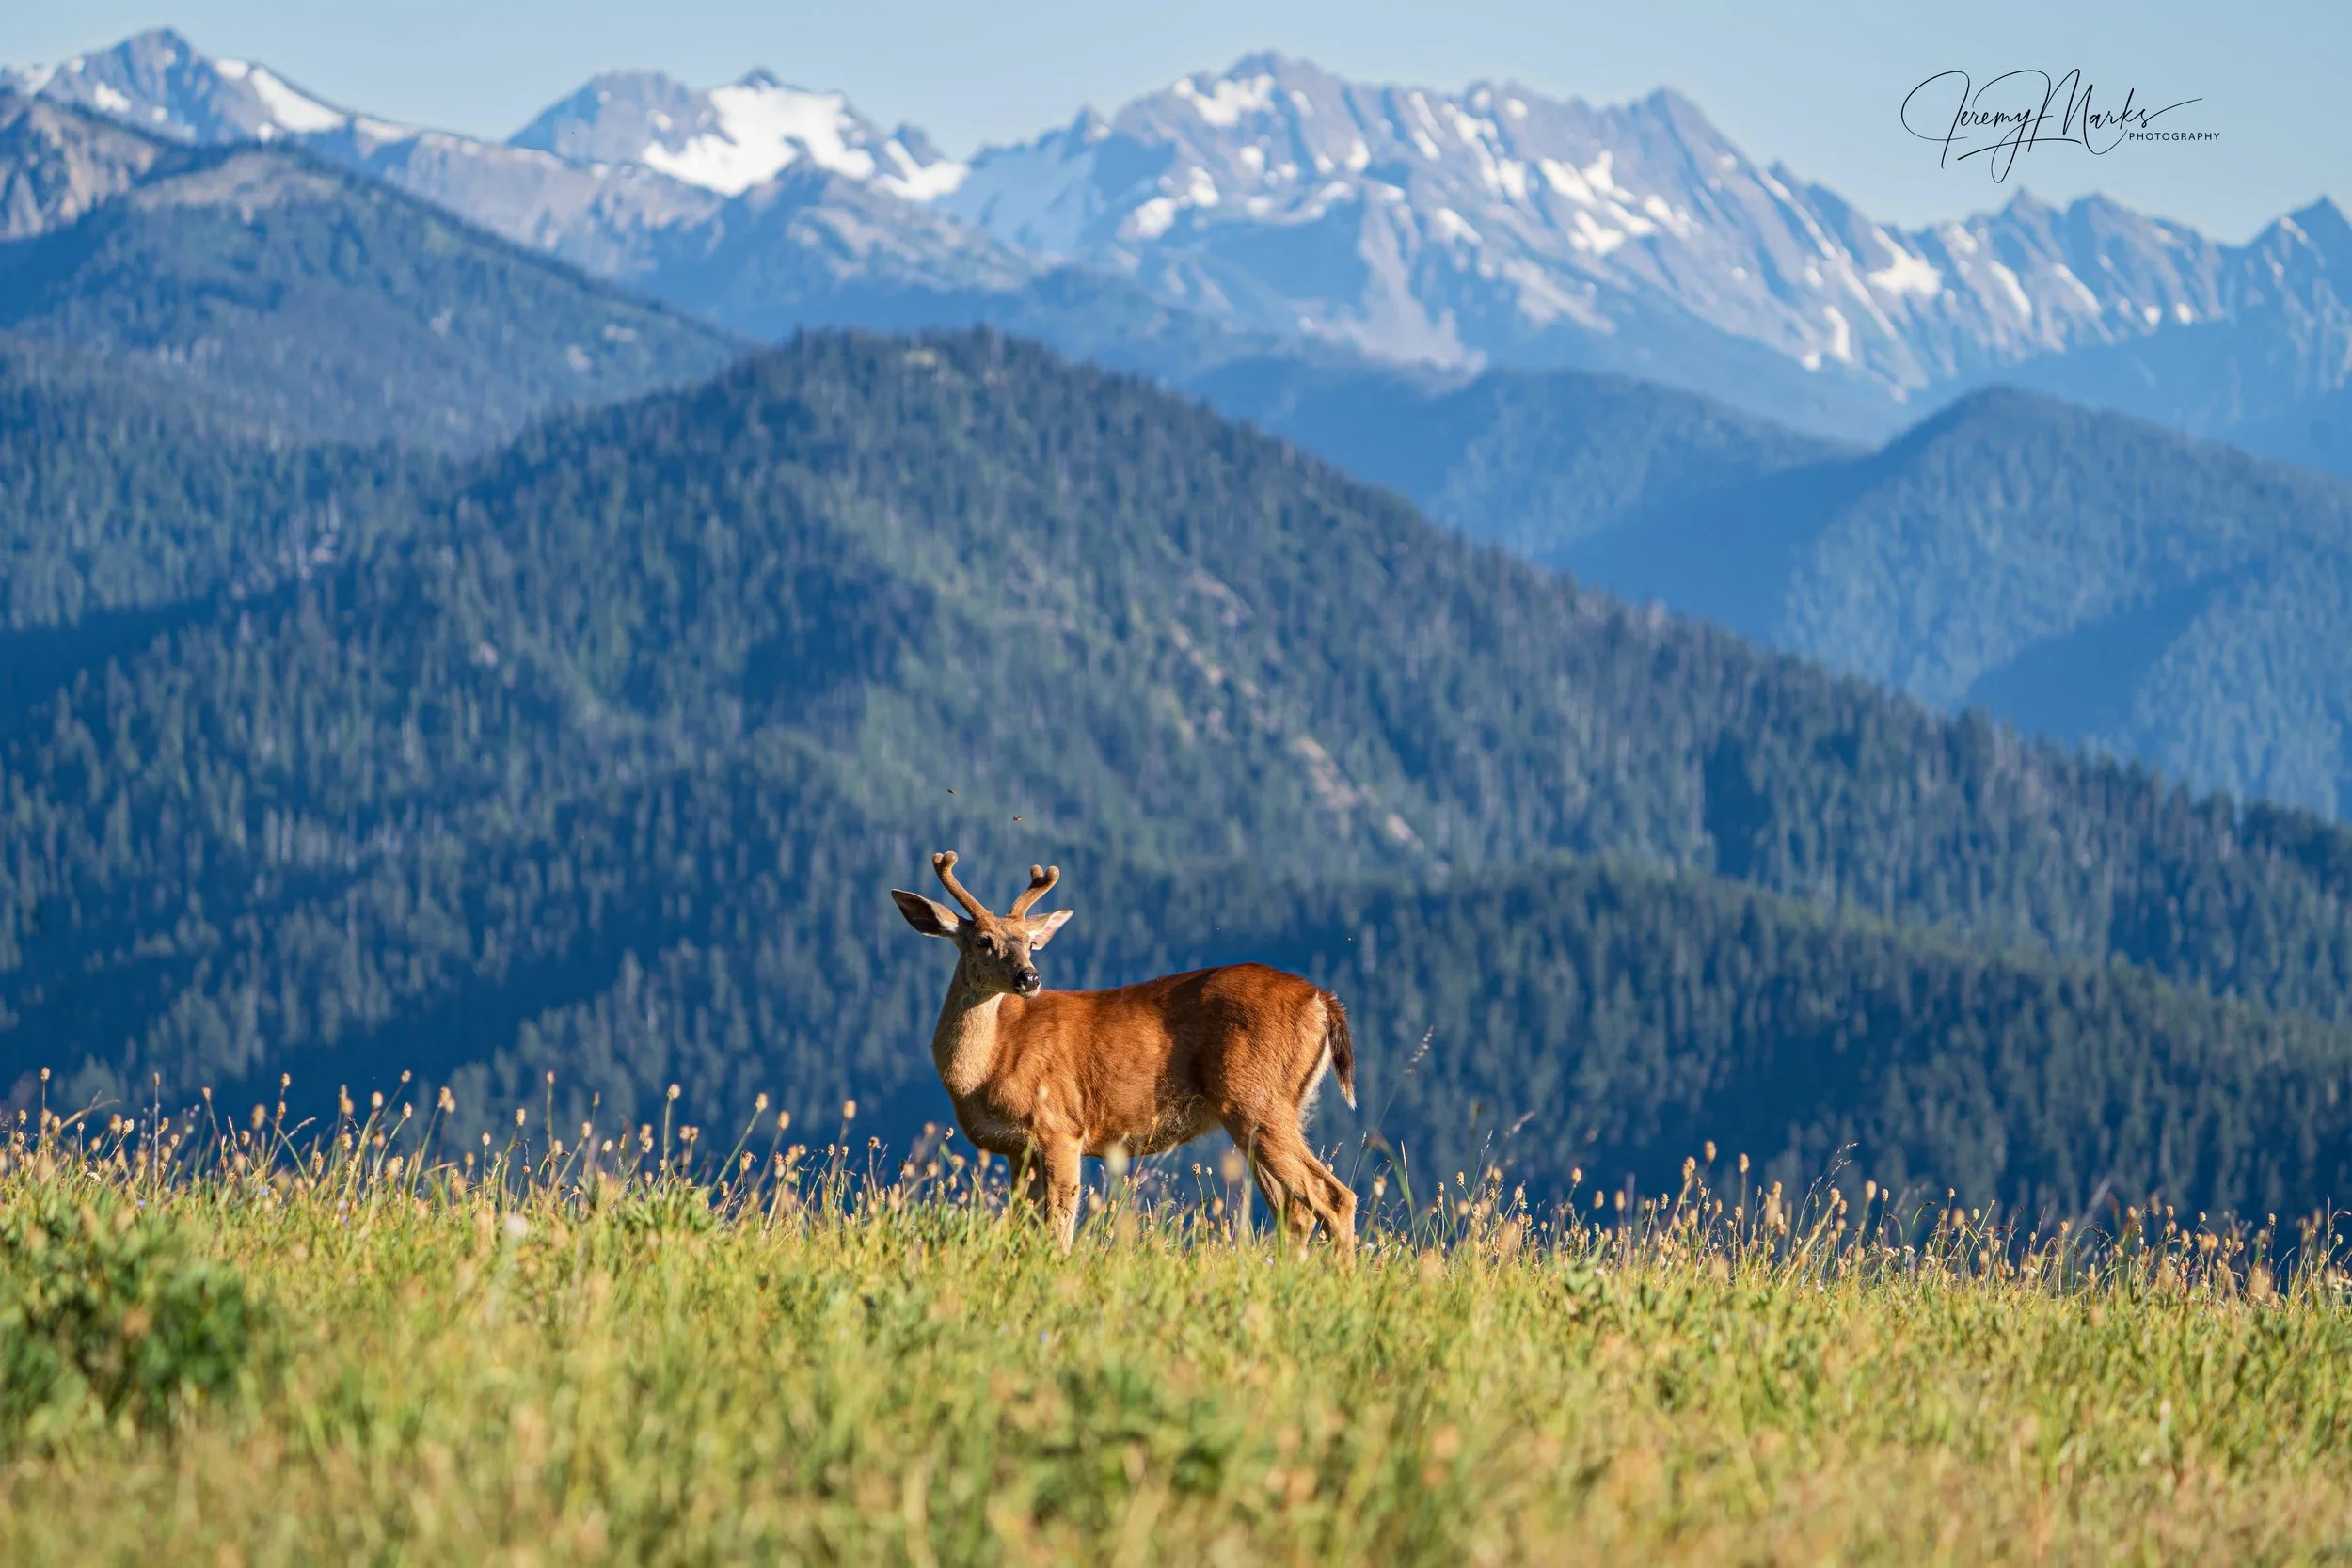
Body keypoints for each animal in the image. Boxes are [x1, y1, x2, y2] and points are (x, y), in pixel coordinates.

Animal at [890, 851, 1358, 1257]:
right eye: (984, 941)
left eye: (1029, 943)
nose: (1030, 977)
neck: (989, 1065)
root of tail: (1322, 1001)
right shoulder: (1015, 1149)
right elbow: (1026, 1226)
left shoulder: (1060, 1127)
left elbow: (1059, 1227)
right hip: (1269, 1110)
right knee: (1294, 1210)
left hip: (1256, 1098)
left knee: (1334, 1197)